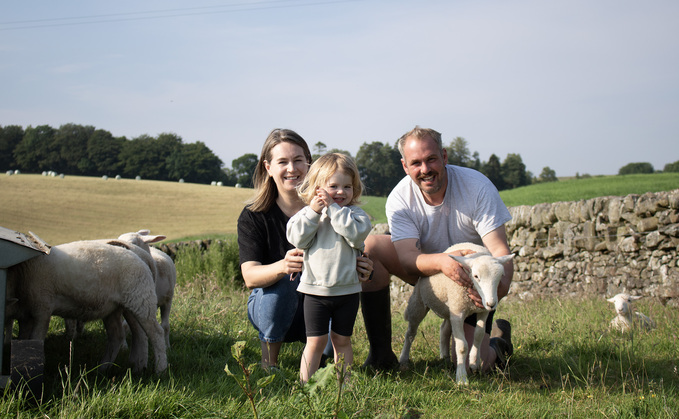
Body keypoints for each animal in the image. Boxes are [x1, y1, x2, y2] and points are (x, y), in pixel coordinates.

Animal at [7, 240, 169, 374]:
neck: (21, 272)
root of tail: (143, 259)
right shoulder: (26, 315)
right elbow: (23, 338)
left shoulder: (42, 307)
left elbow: (36, 338)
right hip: (121, 306)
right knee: (126, 335)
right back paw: (117, 368)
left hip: (140, 299)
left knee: (156, 333)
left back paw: (160, 369)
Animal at [398, 243, 516, 388]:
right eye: (476, 276)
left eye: (501, 276)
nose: (491, 304)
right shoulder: (458, 313)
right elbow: (462, 346)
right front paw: (461, 378)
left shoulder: (482, 311)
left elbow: (479, 335)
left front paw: (474, 362)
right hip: (420, 303)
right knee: (410, 333)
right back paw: (404, 358)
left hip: (450, 308)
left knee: (444, 330)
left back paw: (445, 357)